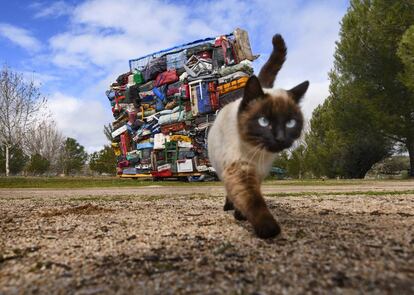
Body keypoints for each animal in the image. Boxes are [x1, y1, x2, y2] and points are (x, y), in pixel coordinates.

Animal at [207, 34, 308, 239]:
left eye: (290, 123)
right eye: (263, 121)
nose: (280, 137)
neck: (257, 153)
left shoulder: (258, 174)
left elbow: (251, 199)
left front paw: (241, 215)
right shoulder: (238, 171)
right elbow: (253, 201)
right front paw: (269, 229)